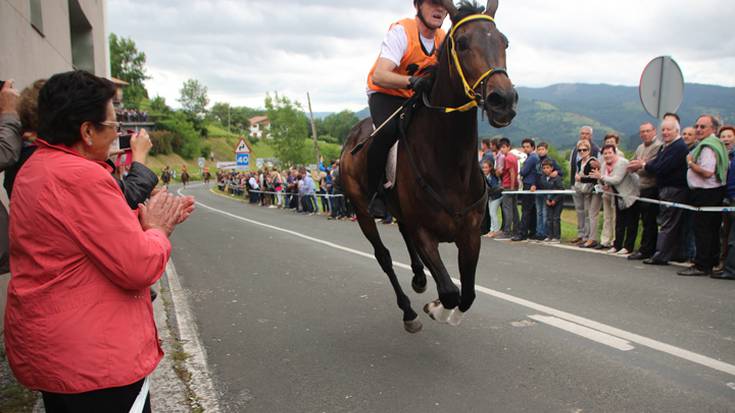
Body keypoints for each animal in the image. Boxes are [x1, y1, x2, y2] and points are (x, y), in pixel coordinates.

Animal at [340, 0, 516, 332]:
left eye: (504, 41)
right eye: (462, 43)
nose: (503, 99)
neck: (450, 164)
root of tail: (351, 139)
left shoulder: (470, 235)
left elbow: (468, 293)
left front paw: (448, 309)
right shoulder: (424, 231)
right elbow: (449, 290)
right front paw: (437, 308)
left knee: (404, 237)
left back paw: (420, 278)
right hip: (362, 209)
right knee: (383, 256)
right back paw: (409, 311)